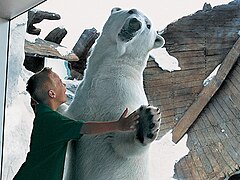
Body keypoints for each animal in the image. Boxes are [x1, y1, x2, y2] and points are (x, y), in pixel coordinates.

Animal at [63, 7, 165, 179]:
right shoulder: (81, 102)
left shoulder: (124, 97)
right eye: (131, 10)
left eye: (149, 25)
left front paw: (146, 122)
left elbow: (122, 144)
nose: (135, 23)